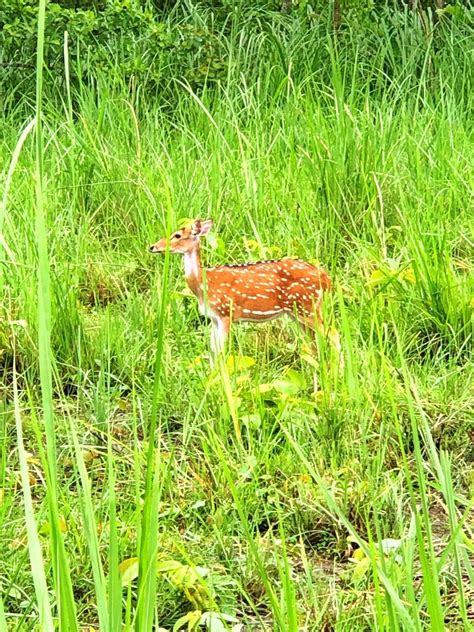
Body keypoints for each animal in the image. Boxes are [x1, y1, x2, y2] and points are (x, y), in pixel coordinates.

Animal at [150, 218, 338, 358]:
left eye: (177, 235)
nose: (152, 246)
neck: (204, 285)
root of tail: (327, 279)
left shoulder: (226, 312)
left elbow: (221, 351)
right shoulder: (214, 318)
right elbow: (213, 350)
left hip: (308, 306)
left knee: (334, 335)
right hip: (297, 312)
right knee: (314, 340)